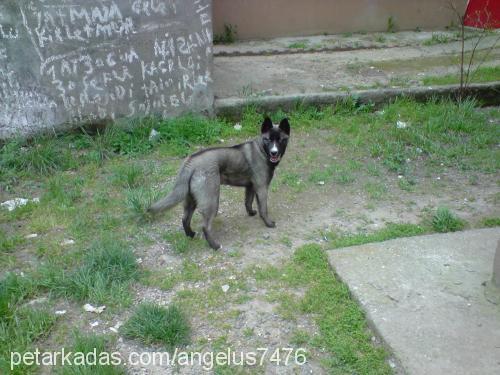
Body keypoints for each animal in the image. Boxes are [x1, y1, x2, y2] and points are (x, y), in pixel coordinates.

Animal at [147, 117, 290, 250]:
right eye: (268, 140)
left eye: (281, 140)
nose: (274, 152)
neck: (262, 150)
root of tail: (191, 162)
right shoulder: (262, 188)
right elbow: (263, 209)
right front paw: (268, 223)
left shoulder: (251, 187)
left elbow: (248, 202)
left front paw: (251, 213)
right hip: (212, 202)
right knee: (205, 226)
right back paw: (215, 246)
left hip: (191, 200)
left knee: (185, 219)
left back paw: (191, 235)